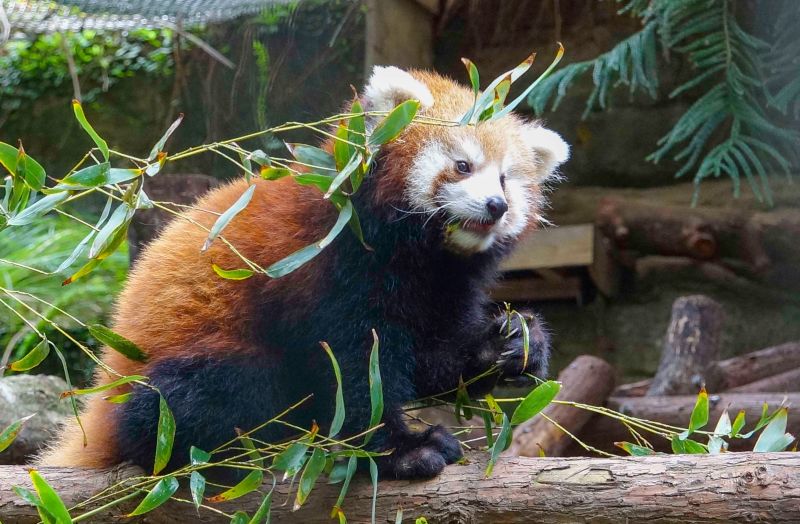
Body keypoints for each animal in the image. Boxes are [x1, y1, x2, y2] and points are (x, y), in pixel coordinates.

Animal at [39, 65, 568, 478]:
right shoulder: (326, 267)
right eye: (462, 166)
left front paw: (512, 342)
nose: (497, 205)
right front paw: (402, 451)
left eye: (506, 179)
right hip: (184, 371)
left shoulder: (442, 286)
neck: (415, 255)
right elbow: (353, 370)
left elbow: (429, 357)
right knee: (209, 393)